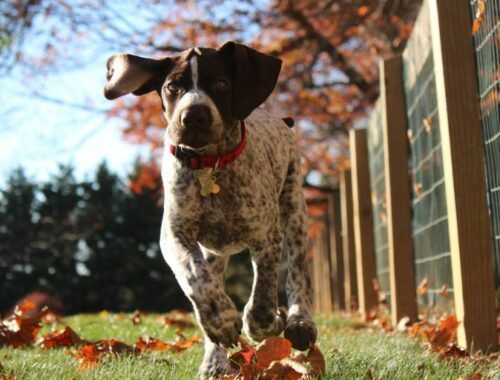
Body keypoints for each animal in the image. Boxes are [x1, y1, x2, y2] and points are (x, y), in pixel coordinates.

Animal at [103, 40, 318, 378]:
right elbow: (195, 278)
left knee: (298, 273)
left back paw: (299, 322)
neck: (210, 166)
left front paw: (269, 322)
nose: (193, 117)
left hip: (294, 208)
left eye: (220, 83)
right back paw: (214, 362)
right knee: (210, 280)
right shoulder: (175, 236)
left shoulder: (266, 236)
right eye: (172, 87)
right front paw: (222, 322)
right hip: (215, 252)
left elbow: (262, 298)